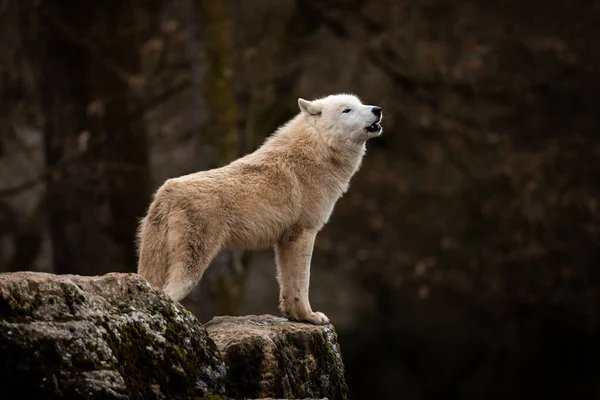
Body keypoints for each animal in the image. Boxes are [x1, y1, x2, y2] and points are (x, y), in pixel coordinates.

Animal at [138, 94, 382, 324]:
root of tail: (166, 192)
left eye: (361, 104)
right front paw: (310, 316)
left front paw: (297, 317)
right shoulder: (304, 233)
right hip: (192, 271)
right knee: (169, 294)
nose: (378, 109)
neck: (318, 150)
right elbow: (303, 283)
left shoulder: (285, 241)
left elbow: (288, 286)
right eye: (347, 110)